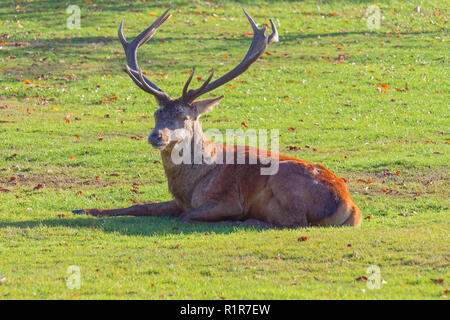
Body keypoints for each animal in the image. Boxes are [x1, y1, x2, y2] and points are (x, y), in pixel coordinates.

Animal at [74, 7, 362, 228]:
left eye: (183, 117)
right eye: (156, 113)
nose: (156, 136)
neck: (190, 185)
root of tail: (351, 208)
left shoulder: (227, 199)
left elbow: (186, 216)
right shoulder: (177, 201)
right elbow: (138, 205)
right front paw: (81, 210)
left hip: (285, 180)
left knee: (294, 221)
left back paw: (248, 221)